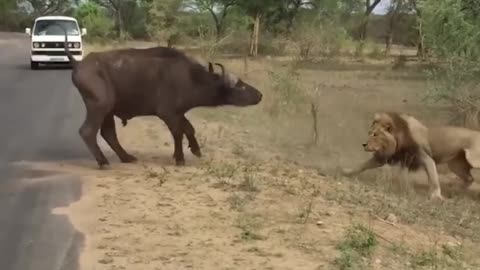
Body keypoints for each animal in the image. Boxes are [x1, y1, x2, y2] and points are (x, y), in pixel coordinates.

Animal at [63, 32, 262, 169]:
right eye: (240, 86)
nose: (260, 95)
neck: (190, 78)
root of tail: (79, 64)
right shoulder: (168, 113)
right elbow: (178, 132)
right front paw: (180, 158)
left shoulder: (179, 112)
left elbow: (189, 128)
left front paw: (195, 150)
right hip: (99, 106)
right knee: (88, 131)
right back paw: (103, 161)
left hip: (108, 111)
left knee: (108, 133)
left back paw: (126, 157)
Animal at [344, 111, 480, 200]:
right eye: (370, 133)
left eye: (375, 135)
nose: (364, 144)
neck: (399, 139)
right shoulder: (385, 157)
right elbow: (363, 165)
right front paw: (347, 172)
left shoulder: (426, 157)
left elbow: (433, 178)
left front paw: (436, 196)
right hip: (456, 164)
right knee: (469, 179)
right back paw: (456, 192)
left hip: (473, 159)